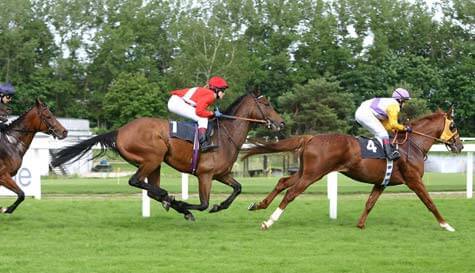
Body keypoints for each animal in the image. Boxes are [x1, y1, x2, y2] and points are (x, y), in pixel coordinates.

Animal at [52, 92, 284, 220]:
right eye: (266, 105)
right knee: (136, 181)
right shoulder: (205, 175)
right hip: (153, 157)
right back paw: (169, 198)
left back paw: (167, 198)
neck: (225, 135)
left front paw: (219, 206)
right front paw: (184, 205)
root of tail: (119, 131)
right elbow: (203, 204)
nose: (281, 123)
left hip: (154, 164)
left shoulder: (221, 174)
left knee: (148, 189)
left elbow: (238, 188)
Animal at [245, 107, 464, 231]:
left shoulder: (381, 182)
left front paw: (360, 225)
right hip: (313, 174)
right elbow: (430, 203)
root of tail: (311, 137)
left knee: (282, 182)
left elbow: (370, 203)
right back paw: (268, 222)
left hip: (304, 171)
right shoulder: (414, 180)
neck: (412, 144)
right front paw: (446, 225)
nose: (460, 145)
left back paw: (258, 205)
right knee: (291, 193)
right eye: (453, 125)